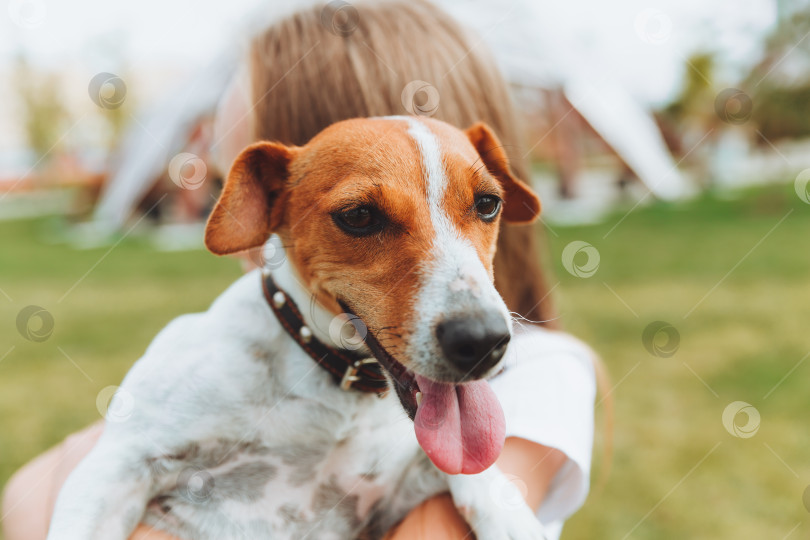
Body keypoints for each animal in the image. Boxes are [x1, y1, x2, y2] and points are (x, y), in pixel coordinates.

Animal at [47, 116, 548, 536]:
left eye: (488, 204)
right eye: (359, 216)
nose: (483, 342)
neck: (331, 380)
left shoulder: (390, 494)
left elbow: (475, 475)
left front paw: (511, 519)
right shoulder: (118, 464)